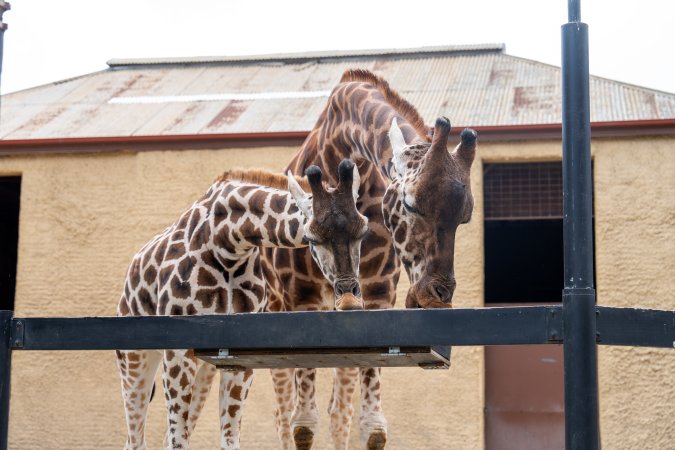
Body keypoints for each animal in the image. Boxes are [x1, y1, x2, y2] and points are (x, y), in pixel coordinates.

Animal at [115, 159, 368, 450]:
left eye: (363, 231)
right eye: (312, 238)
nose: (349, 299)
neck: (227, 244)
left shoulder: (239, 352)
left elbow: (229, 438)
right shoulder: (177, 350)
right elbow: (178, 441)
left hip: (203, 367)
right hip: (135, 359)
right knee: (136, 438)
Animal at [263, 69, 477, 450]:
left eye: (465, 217)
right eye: (409, 204)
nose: (437, 298)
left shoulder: (376, 295)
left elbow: (372, 427)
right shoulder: (302, 299)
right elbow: (303, 426)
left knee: (338, 410)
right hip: (277, 308)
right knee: (283, 413)